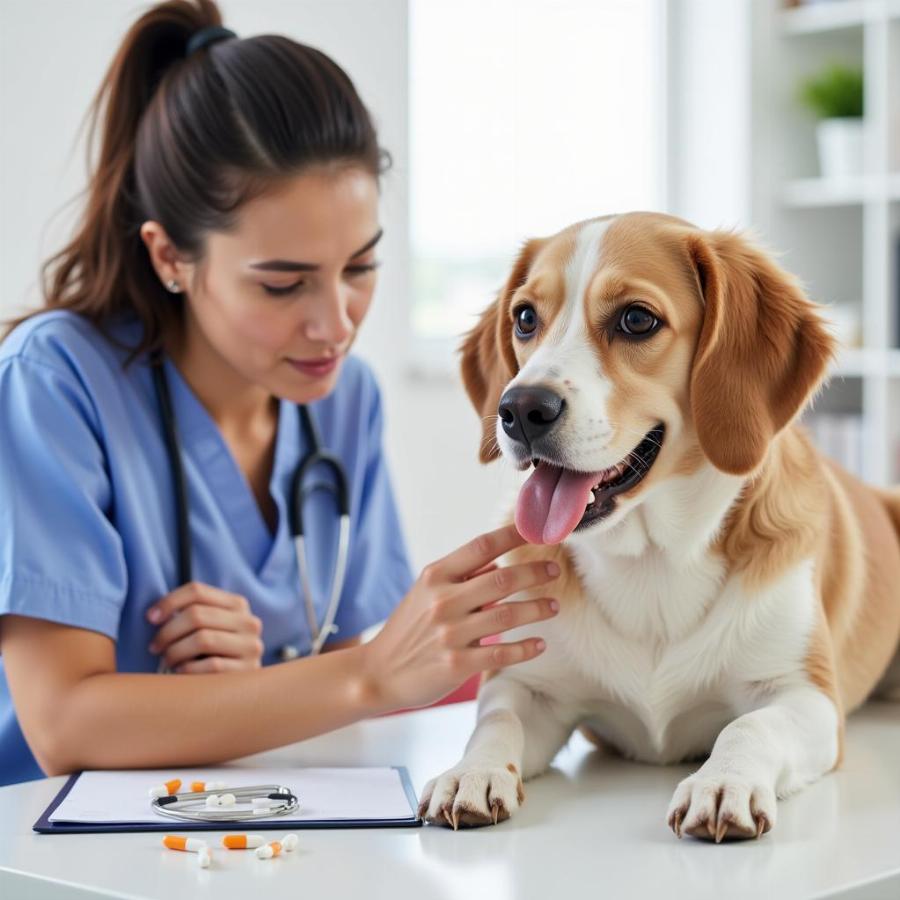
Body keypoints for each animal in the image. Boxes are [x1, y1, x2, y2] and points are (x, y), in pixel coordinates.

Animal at [418, 213, 900, 844]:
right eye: (524, 318)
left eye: (636, 319)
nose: (519, 409)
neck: (653, 561)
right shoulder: (530, 688)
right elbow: (495, 722)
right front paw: (469, 773)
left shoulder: (805, 694)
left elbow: (747, 728)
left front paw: (723, 782)